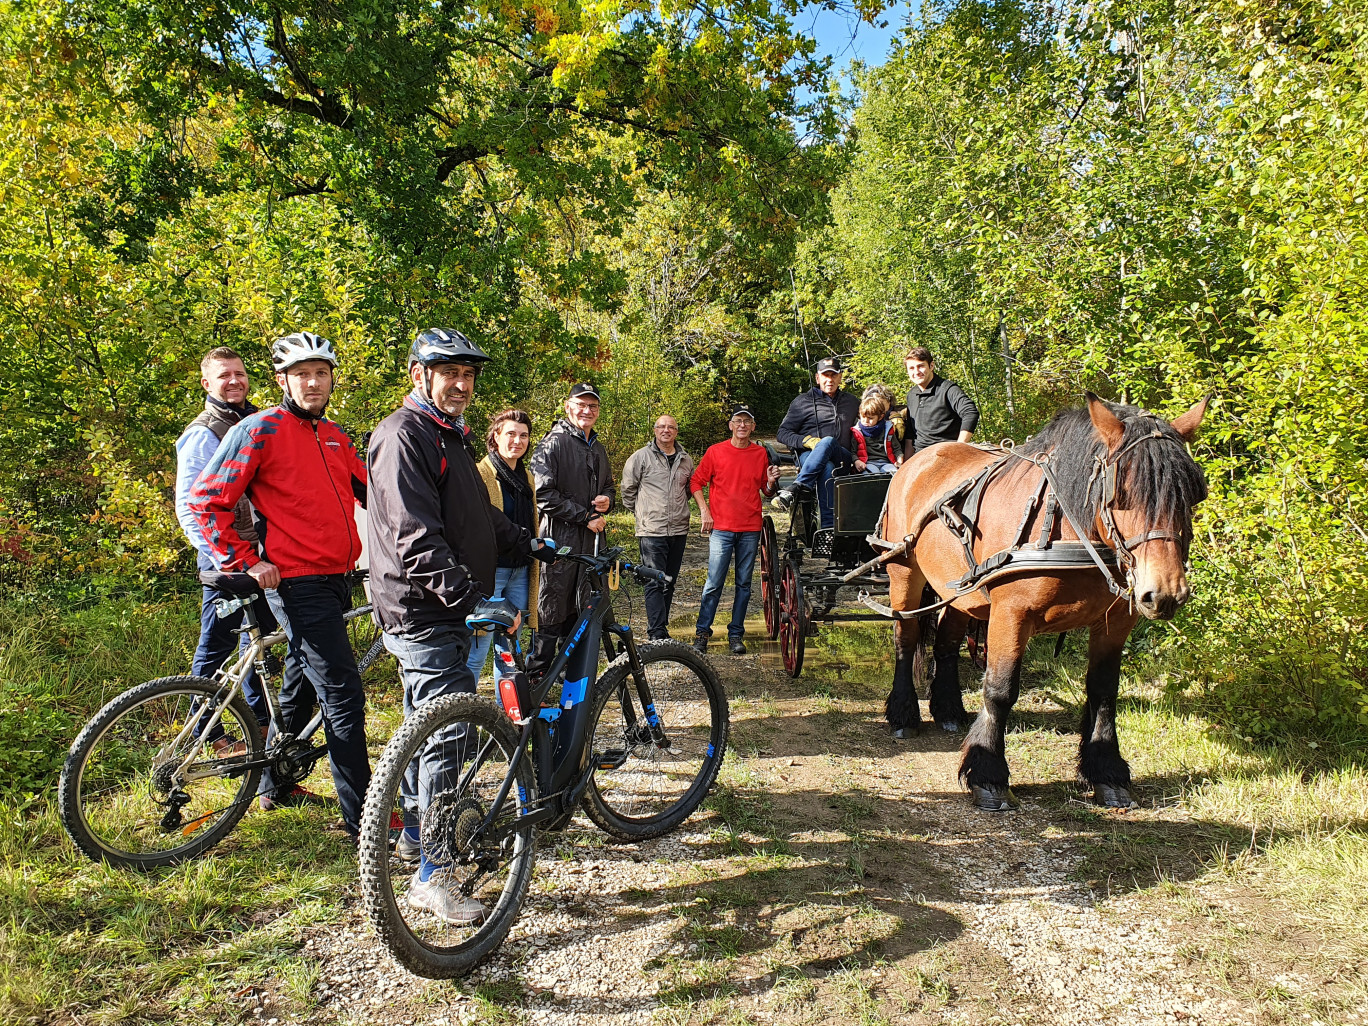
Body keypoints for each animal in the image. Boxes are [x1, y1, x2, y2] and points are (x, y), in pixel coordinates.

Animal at [880, 393, 1203, 809]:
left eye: (1193, 494)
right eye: (1121, 493)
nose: (1164, 593)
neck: (1066, 528)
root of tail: (920, 459)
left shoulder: (1115, 622)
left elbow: (1103, 692)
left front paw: (1106, 771)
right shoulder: (1011, 614)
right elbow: (1000, 690)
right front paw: (988, 775)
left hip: (960, 591)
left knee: (947, 644)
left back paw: (948, 709)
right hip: (904, 572)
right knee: (905, 639)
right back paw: (903, 714)